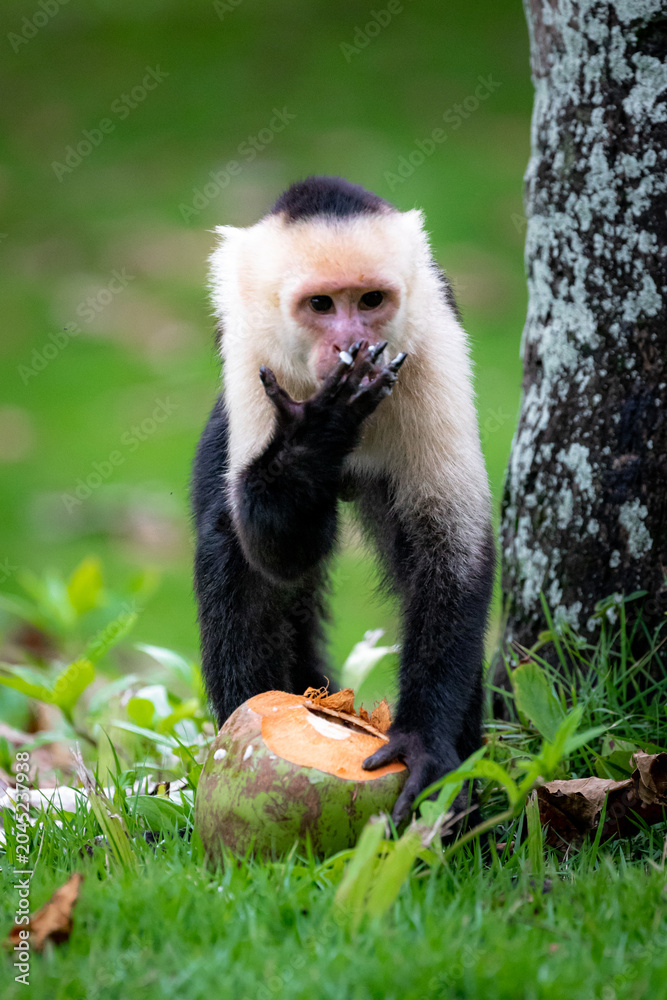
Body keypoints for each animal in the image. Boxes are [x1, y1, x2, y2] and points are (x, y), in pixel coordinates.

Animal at [192, 176, 495, 824]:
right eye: (322, 306)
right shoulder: (252, 356)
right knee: (230, 544)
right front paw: (317, 435)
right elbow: (276, 557)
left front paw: (422, 743)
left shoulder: (432, 343)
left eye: (371, 300)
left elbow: (451, 547)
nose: (353, 343)